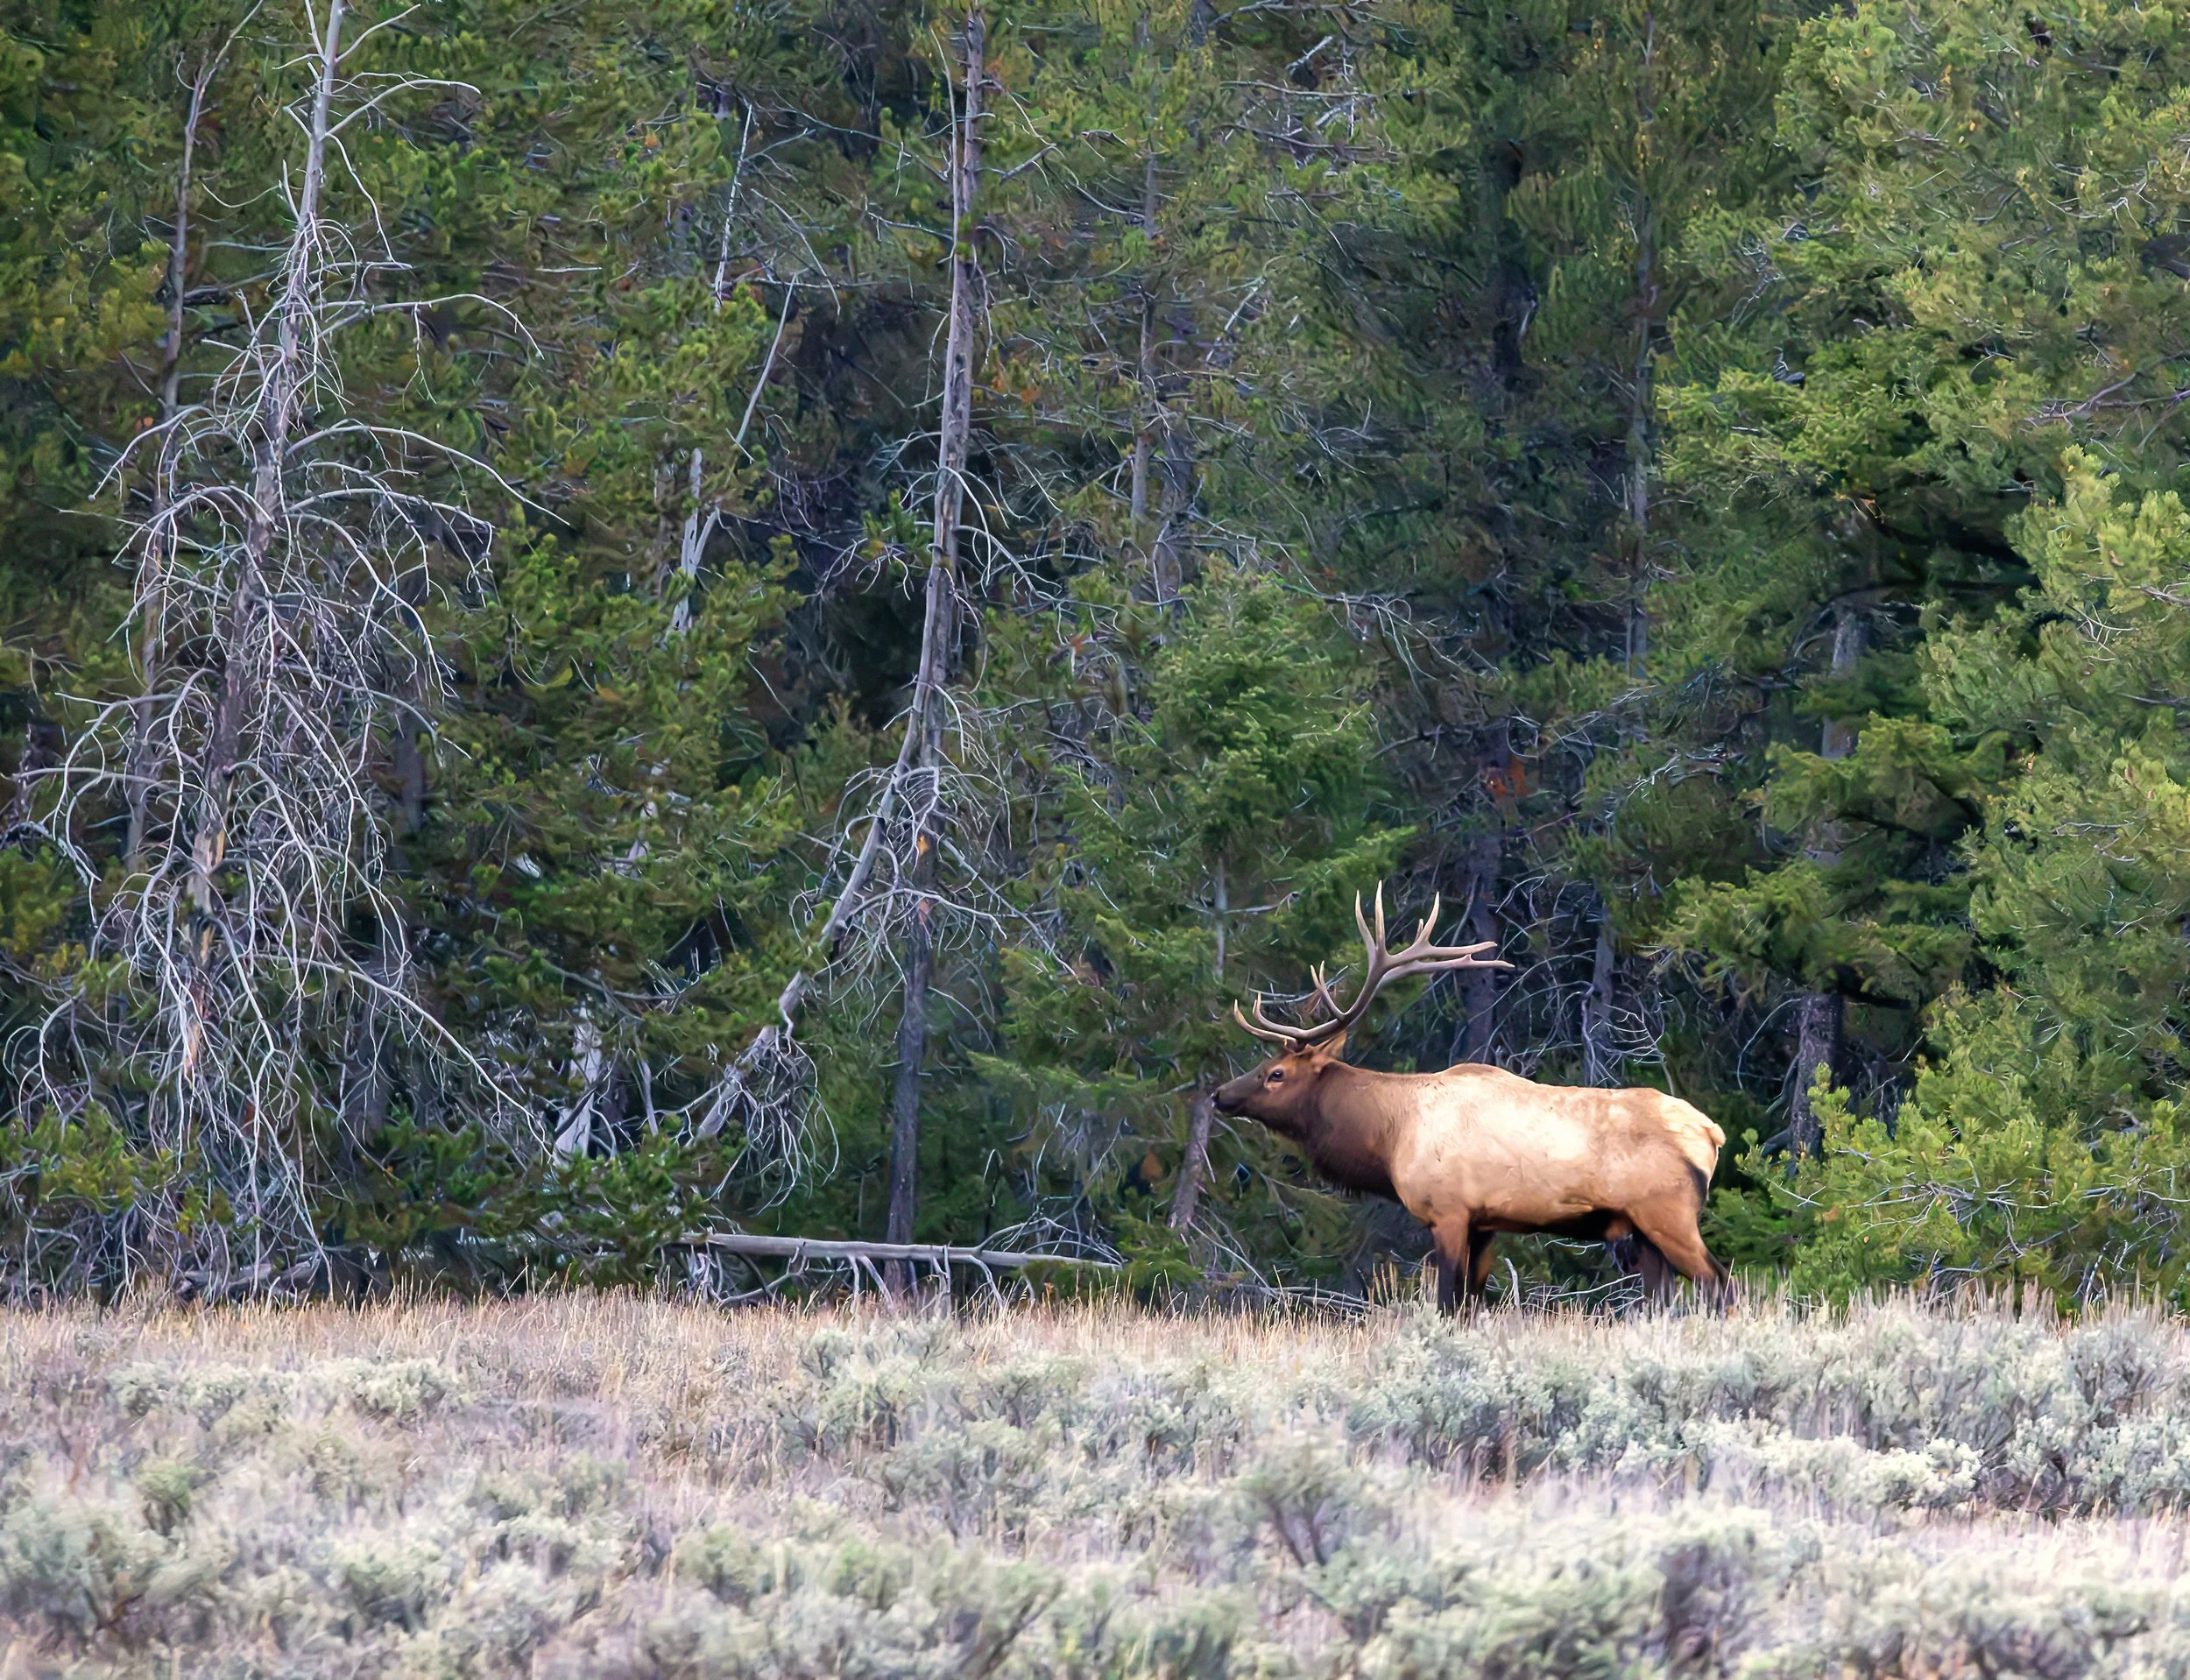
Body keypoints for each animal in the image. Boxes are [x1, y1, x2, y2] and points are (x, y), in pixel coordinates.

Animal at [1214, 887, 1731, 1311]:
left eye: (1276, 1074)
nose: (1221, 1095)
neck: (1389, 1137)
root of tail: (1711, 1132)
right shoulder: (1485, 1223)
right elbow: (1470, 1305)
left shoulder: (1448, 1212)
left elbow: (1447, 1303)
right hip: (1642, 1229)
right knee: (1662, 1298)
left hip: (1667, 1212)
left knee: (1719, 1282)